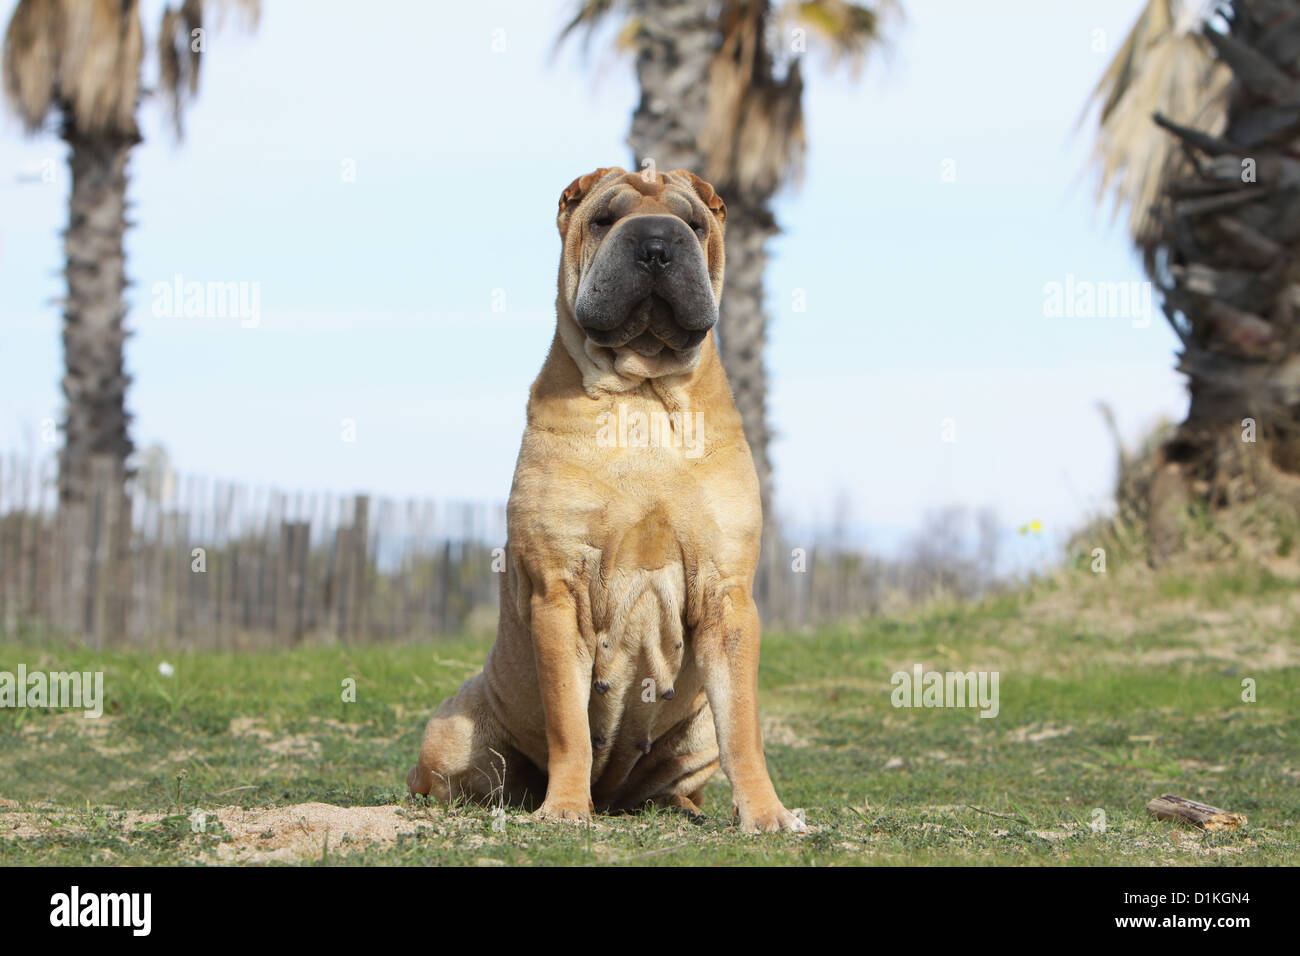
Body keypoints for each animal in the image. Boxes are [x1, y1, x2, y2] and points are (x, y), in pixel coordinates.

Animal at [410, 167, 806, 832]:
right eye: (603, 218)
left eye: (694, 222)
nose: (656, 244)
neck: (642, 394)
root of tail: (617, 794)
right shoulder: (558, 591)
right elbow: (569, 723)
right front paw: (565, 809)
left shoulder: (726, 593)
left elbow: (744, 731)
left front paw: (767, 814)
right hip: (453, 730)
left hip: (694, 733)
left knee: (680, 777)